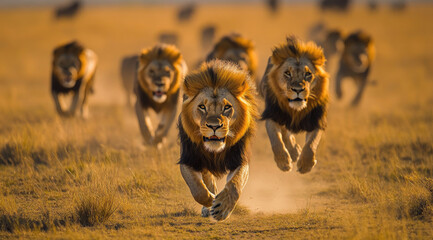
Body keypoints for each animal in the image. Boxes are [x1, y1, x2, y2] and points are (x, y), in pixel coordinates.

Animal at [178, 60, 256, 221]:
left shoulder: (240, 159)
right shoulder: (188, 159)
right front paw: (211, 201)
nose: (214, 126)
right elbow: (197, 189)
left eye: (227, 107)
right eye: (202, 106)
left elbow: (235, 184)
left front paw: (222, 208)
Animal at [260, 35, 328, 173]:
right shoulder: (272, 115)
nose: (297, 90)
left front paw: (306, 164)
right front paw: (283, 162)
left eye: (308, 74)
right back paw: (294, 152)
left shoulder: (317, 119)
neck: (296, 110)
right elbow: (276, 140)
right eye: (287, 73)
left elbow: (311, 143)